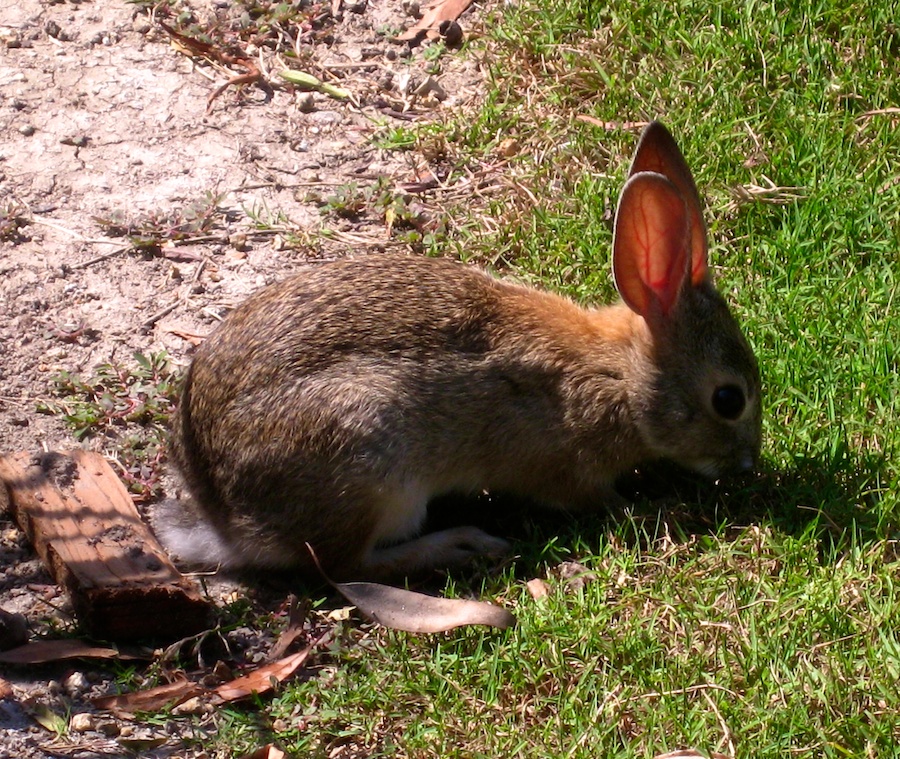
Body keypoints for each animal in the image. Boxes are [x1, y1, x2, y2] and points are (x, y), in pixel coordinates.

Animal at [158, 121, 764, 580]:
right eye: (728, 399)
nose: (747, 465)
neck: (620, 375)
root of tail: (228, 522)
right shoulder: (567, 466)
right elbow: (594, 498)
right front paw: (657, 509)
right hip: (369, 460)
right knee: (347, 564)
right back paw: (458, 544)